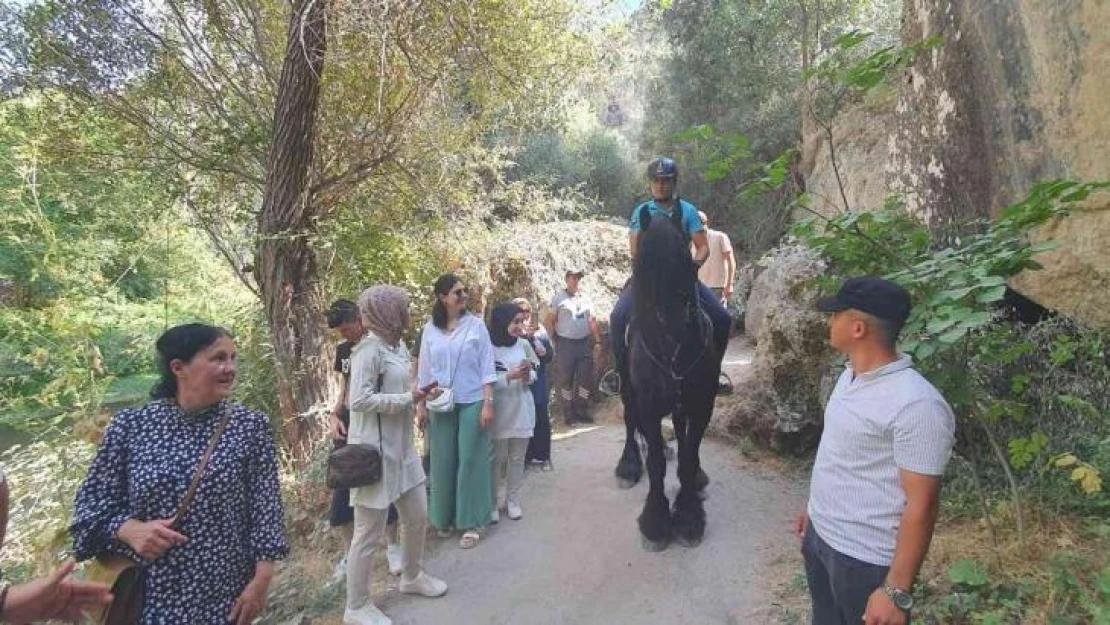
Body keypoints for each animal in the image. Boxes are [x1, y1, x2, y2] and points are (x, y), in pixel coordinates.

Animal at [617, 208, 719, 552]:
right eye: (645, 265)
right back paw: (628, 465)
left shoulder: (701, 404)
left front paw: (688, 516)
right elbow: (657, 463)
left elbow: (688, 455)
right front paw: (656, 521)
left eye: (685, 258)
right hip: (628, 388)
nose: (679, 328)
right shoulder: (648, 406)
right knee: (629, 418)